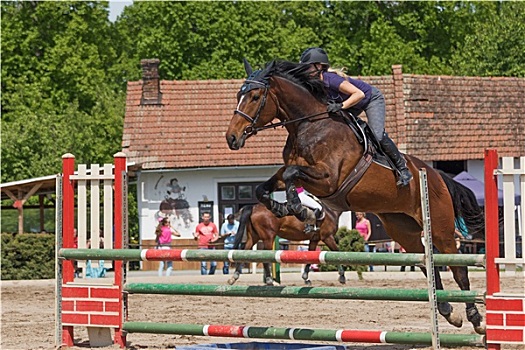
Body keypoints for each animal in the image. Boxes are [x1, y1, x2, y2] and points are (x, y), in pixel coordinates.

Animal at [223, 59, 486, 334]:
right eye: (239, 95)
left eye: (254, 96)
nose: (232, 137)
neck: (309, 124)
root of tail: (436, 175)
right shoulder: (293, 176)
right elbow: (267, 186)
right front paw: (282, 208)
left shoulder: (328, 178)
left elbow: (293, 174)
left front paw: (298, 208)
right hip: (404, 229)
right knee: (427, 263)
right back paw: (447, 311)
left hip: (440, 227)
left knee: (458, 268)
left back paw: (475, 318)